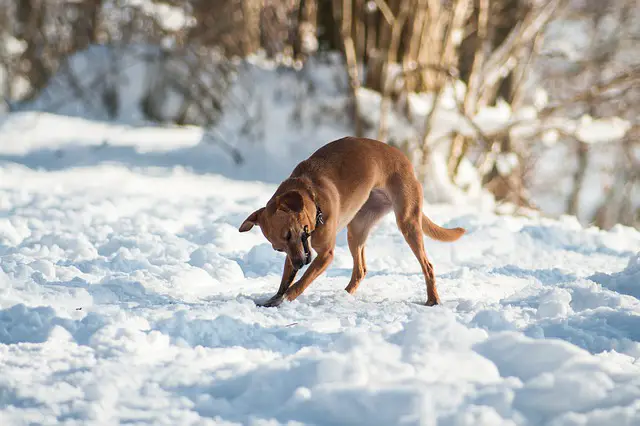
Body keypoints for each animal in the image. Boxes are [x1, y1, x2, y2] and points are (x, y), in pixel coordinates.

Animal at [240, 136, 464, 306]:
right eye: (278, 248)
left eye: (289, 234)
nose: (300, 263)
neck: (314, 197)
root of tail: (405, 160)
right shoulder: (297, 253)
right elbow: (285, 281)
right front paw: (273, 298)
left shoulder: (325, 255)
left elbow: (300, 283)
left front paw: (284, 299)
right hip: (356, 229)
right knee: (360, 270)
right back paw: (343, 295)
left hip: (408, 222)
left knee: (428, 266)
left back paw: (433, 300)